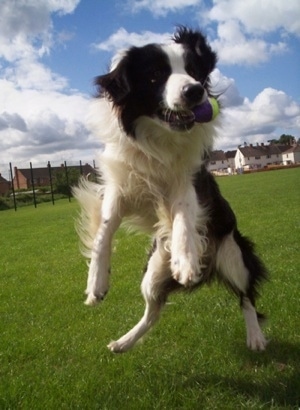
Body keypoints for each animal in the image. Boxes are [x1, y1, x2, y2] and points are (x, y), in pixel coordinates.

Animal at [74, 26, 268, 352]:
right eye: (155, 75)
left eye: (194, 71)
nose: (195, 91)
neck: (159, 138)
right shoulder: (120, 186)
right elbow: (105, 229)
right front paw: (96, 284)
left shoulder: (189, 181)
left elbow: (183, 217)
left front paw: (186, 261)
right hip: (153, 270)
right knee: (154, 310)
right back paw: (124, 342)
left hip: (234, 254)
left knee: (246, 296)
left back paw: (255, 336)